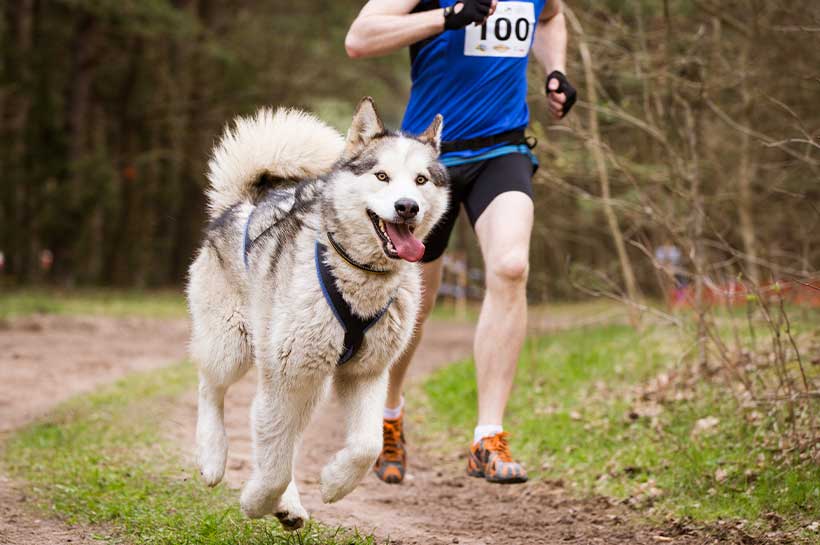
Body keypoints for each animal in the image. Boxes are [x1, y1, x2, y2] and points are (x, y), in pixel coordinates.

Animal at [187, 96, 448, 528]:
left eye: (421, 180)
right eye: (381, 176)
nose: (407, 207)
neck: (358, 275)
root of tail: (241, 203)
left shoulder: (366, 373)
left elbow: (366, 446)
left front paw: (334, 483)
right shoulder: (286, 377)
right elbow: (274, 466)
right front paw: (256, 502)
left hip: (308, 383)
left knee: (286, 438)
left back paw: (289, 505)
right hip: (232, 346)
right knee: (211, 390)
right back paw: (212, 457)